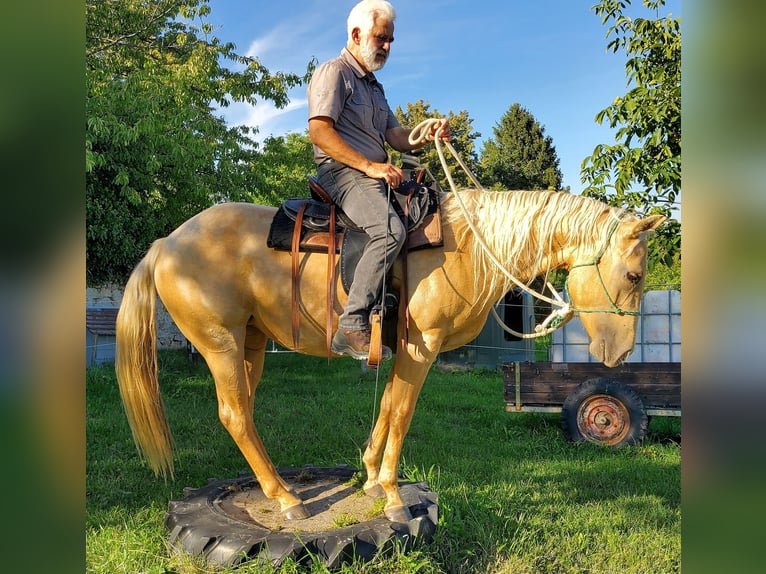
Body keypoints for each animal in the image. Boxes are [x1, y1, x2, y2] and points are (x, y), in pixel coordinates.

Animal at [114, 191, 664, 524]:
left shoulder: (404, 352)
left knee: (244, 411)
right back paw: (286, 499)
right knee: (234, 414)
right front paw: (395, 495)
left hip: (249, 344)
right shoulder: (422, 347)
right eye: (635, 275)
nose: (620, 353)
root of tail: (166, 243)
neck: (467, 247)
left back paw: (275, 489)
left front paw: (372, 477)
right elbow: (401, 410)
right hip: (220, 343)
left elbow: (385, 407)